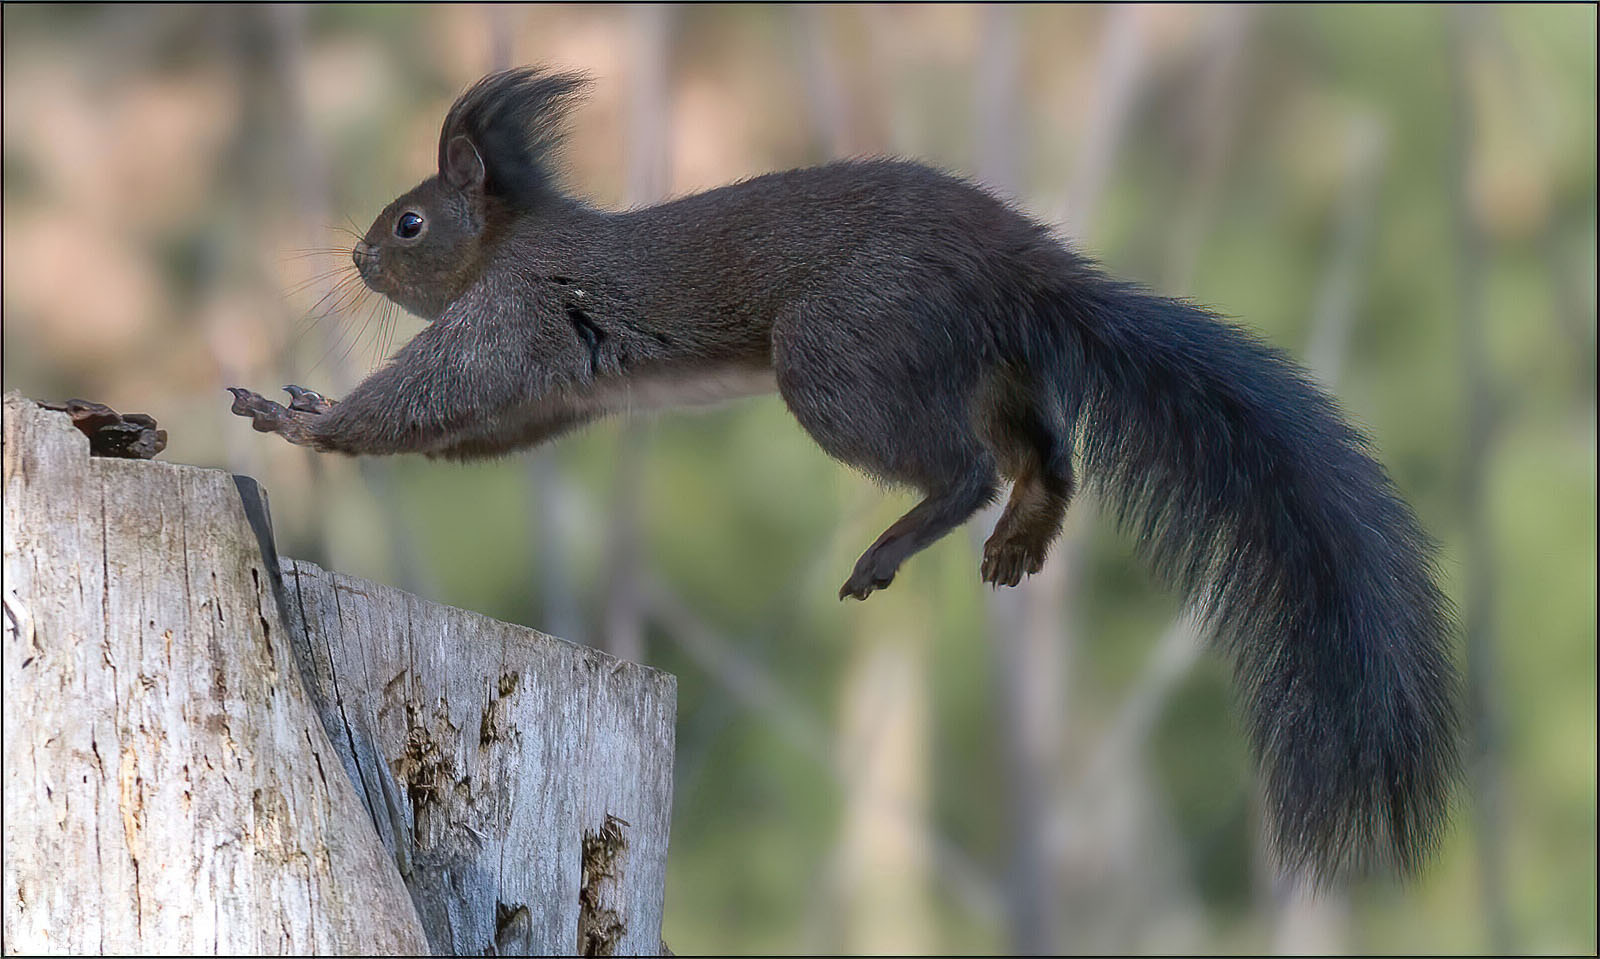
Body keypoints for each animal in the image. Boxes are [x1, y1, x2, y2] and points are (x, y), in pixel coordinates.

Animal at [228, 63, 1465, 883]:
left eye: (409, 221)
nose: (354, 256)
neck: (509, 236)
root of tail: (1023, 266)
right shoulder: (554, 391)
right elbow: (478, 426)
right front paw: (307, 410)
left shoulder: (521, 310)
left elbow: (442, 388)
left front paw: (306, 419)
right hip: (980, 361)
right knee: (1049, 455)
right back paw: (1020, 534)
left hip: (840, 352)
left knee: (962, 466)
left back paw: (900, 541)